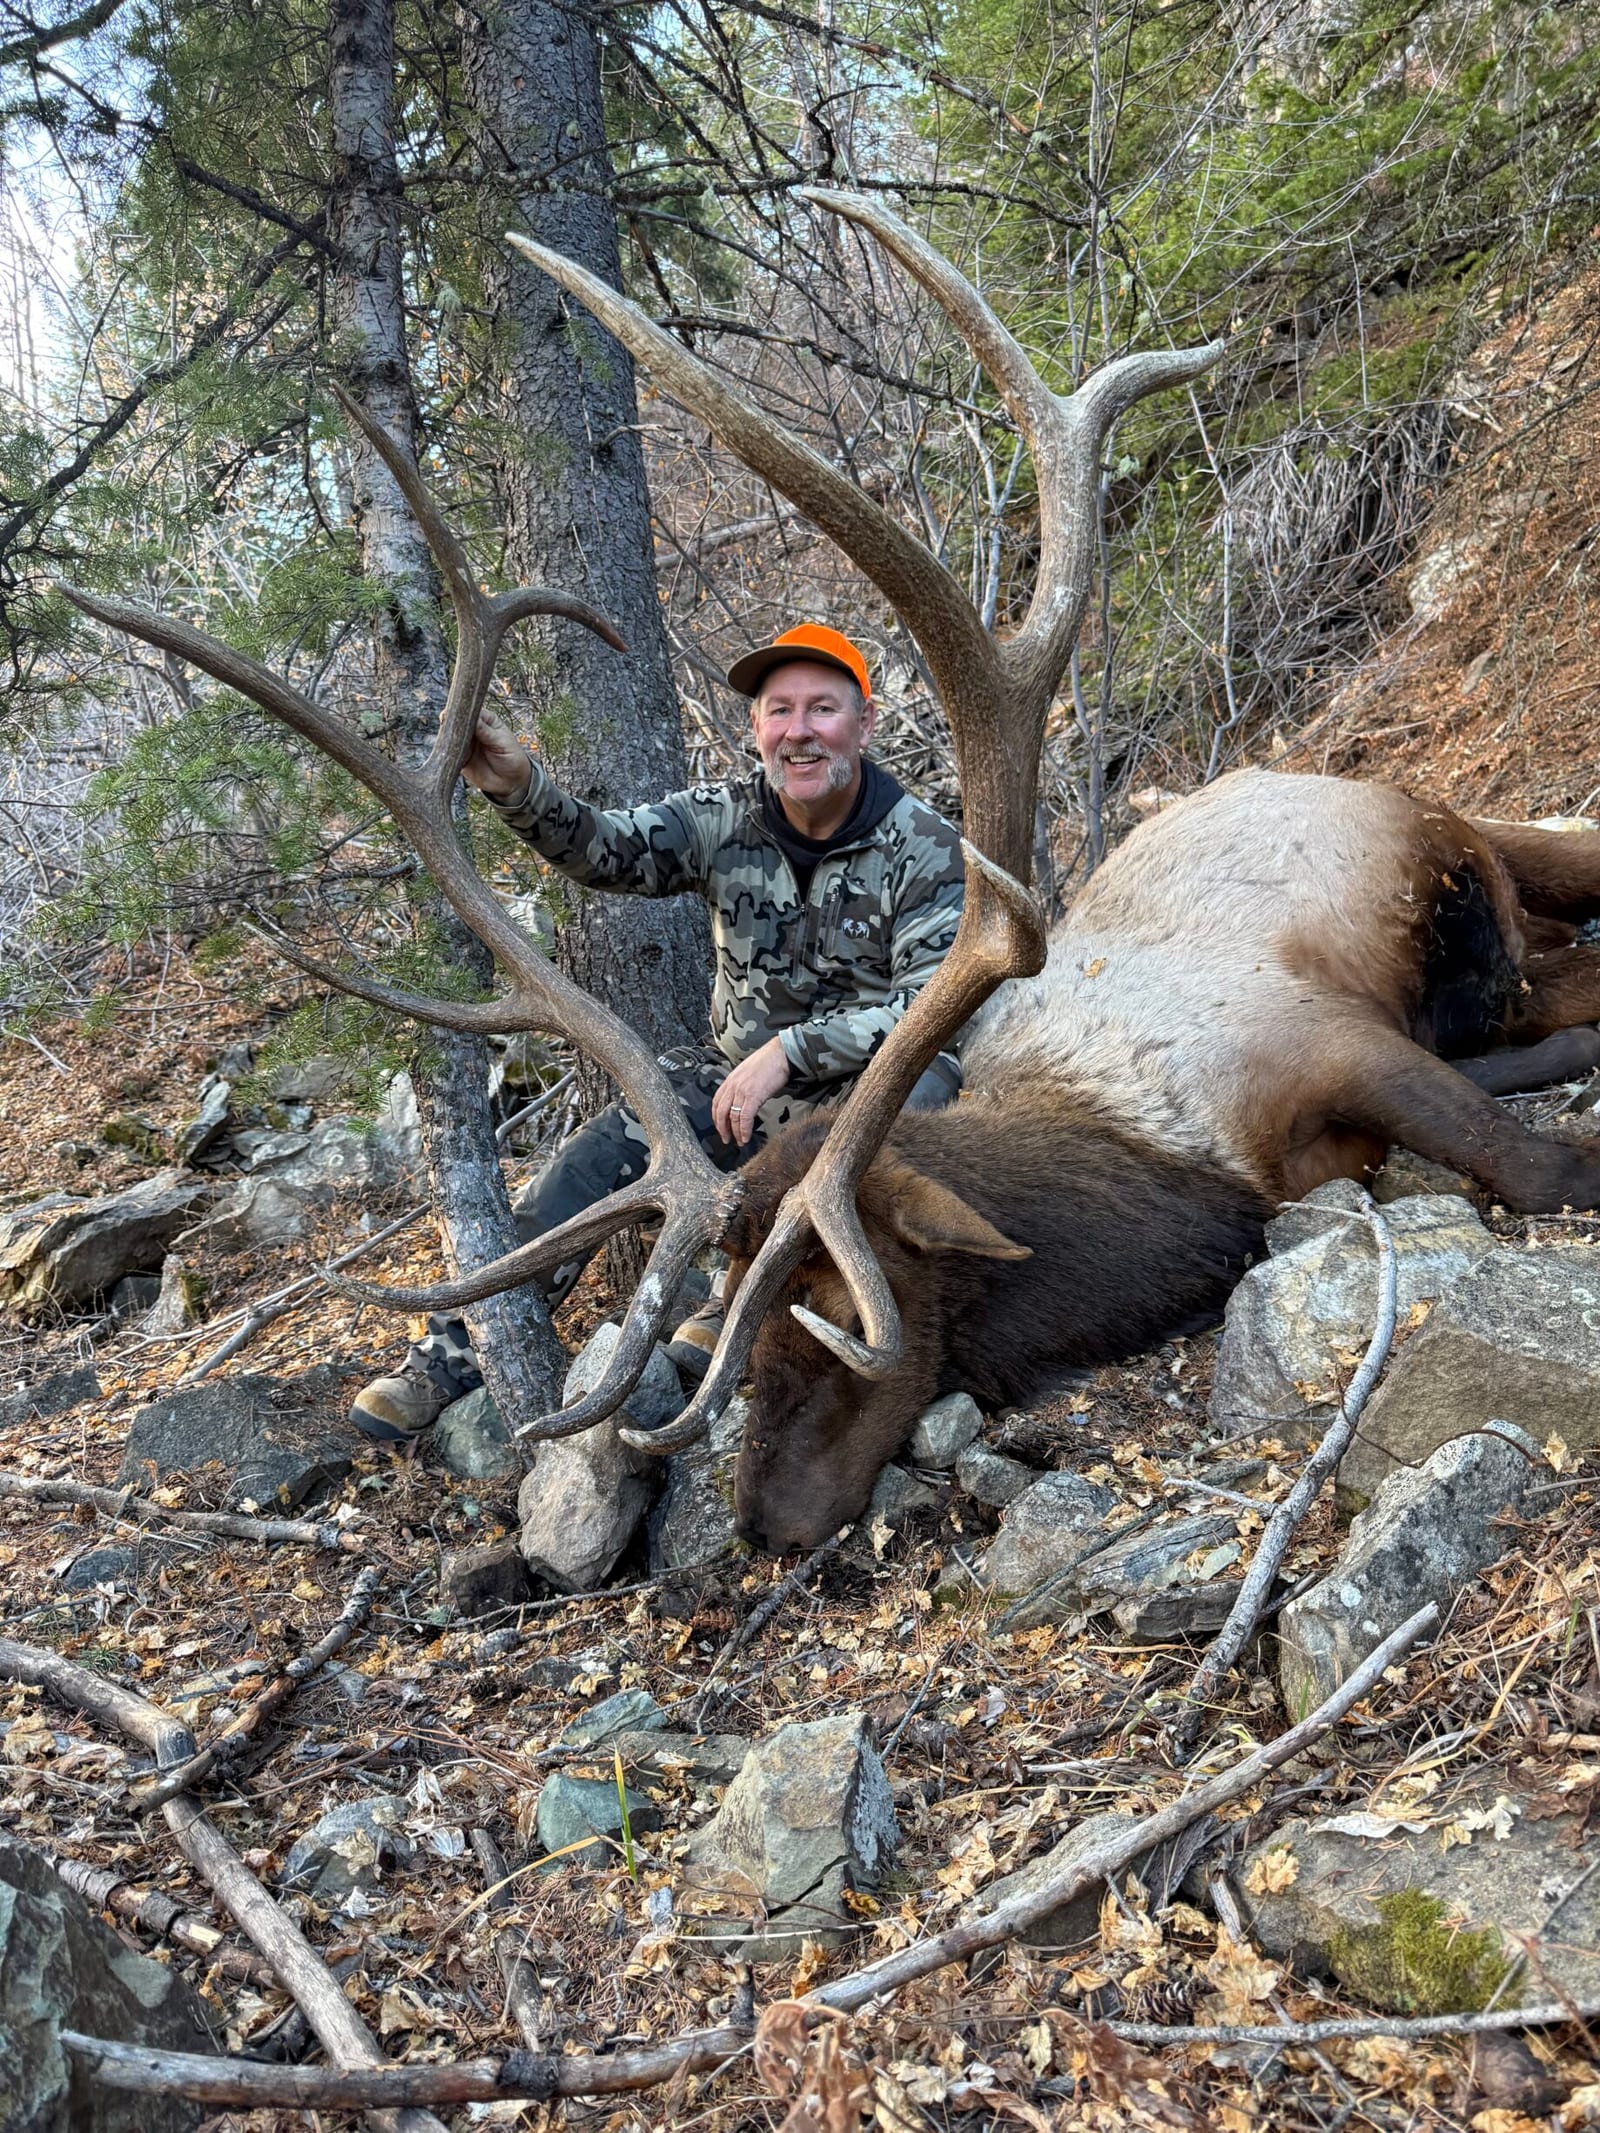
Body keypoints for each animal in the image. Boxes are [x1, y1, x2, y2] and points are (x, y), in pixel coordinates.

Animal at [59, 193, 1600, 1558]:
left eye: (840, 1302)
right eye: (734, 1319)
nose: (765, 1524)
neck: (1165, 1160)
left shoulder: (1318, 1033)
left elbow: (1539, 1163)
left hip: (1453, 830)